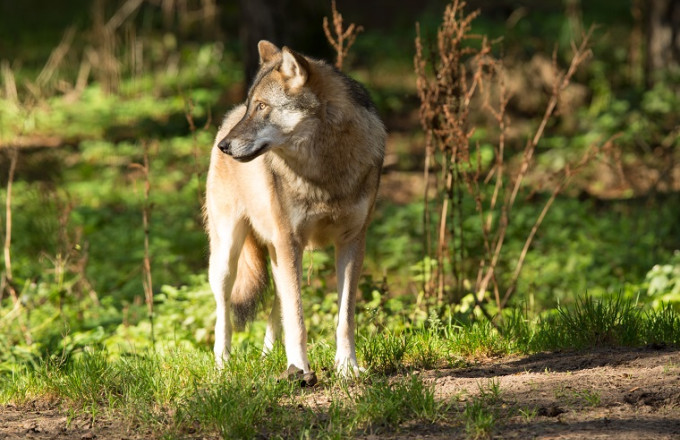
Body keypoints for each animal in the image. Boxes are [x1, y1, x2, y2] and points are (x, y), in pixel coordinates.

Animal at [204, 40, 385, 379]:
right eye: (252, 106)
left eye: (262, 106)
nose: (225, 146)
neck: (324, 172)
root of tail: (226, 118)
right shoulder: (291, 242)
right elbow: (298, 322)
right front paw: (299, 368)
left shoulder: (352, 242)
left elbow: (344, 319)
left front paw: (347, 367)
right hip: (228, 258)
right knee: (224, 312)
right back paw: (223, 365)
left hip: (280, 256)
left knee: (278, 308)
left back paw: (268, 357)